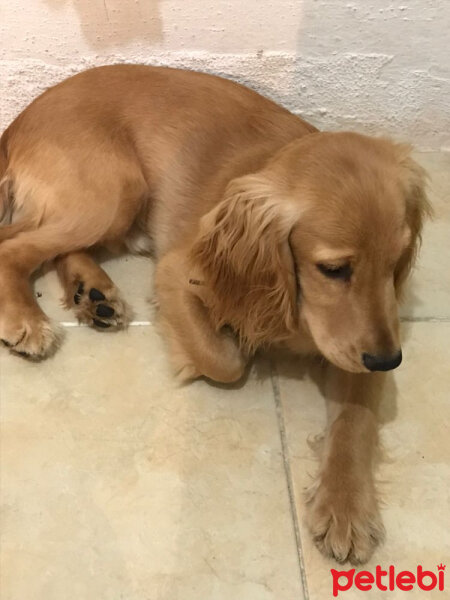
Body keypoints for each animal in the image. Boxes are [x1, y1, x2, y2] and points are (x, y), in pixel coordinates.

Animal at [0, 64, 430, 564]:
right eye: (333, 269)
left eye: (395, 263)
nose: (389, 360)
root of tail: (18, 121)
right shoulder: (176, 272)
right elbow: (225, 361)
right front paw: (237, 339)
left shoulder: (362, 345)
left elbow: (355, 423)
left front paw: (346, 507)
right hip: (114, 191)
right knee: (15, 248)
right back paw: (27, 319)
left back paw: (93, 294)